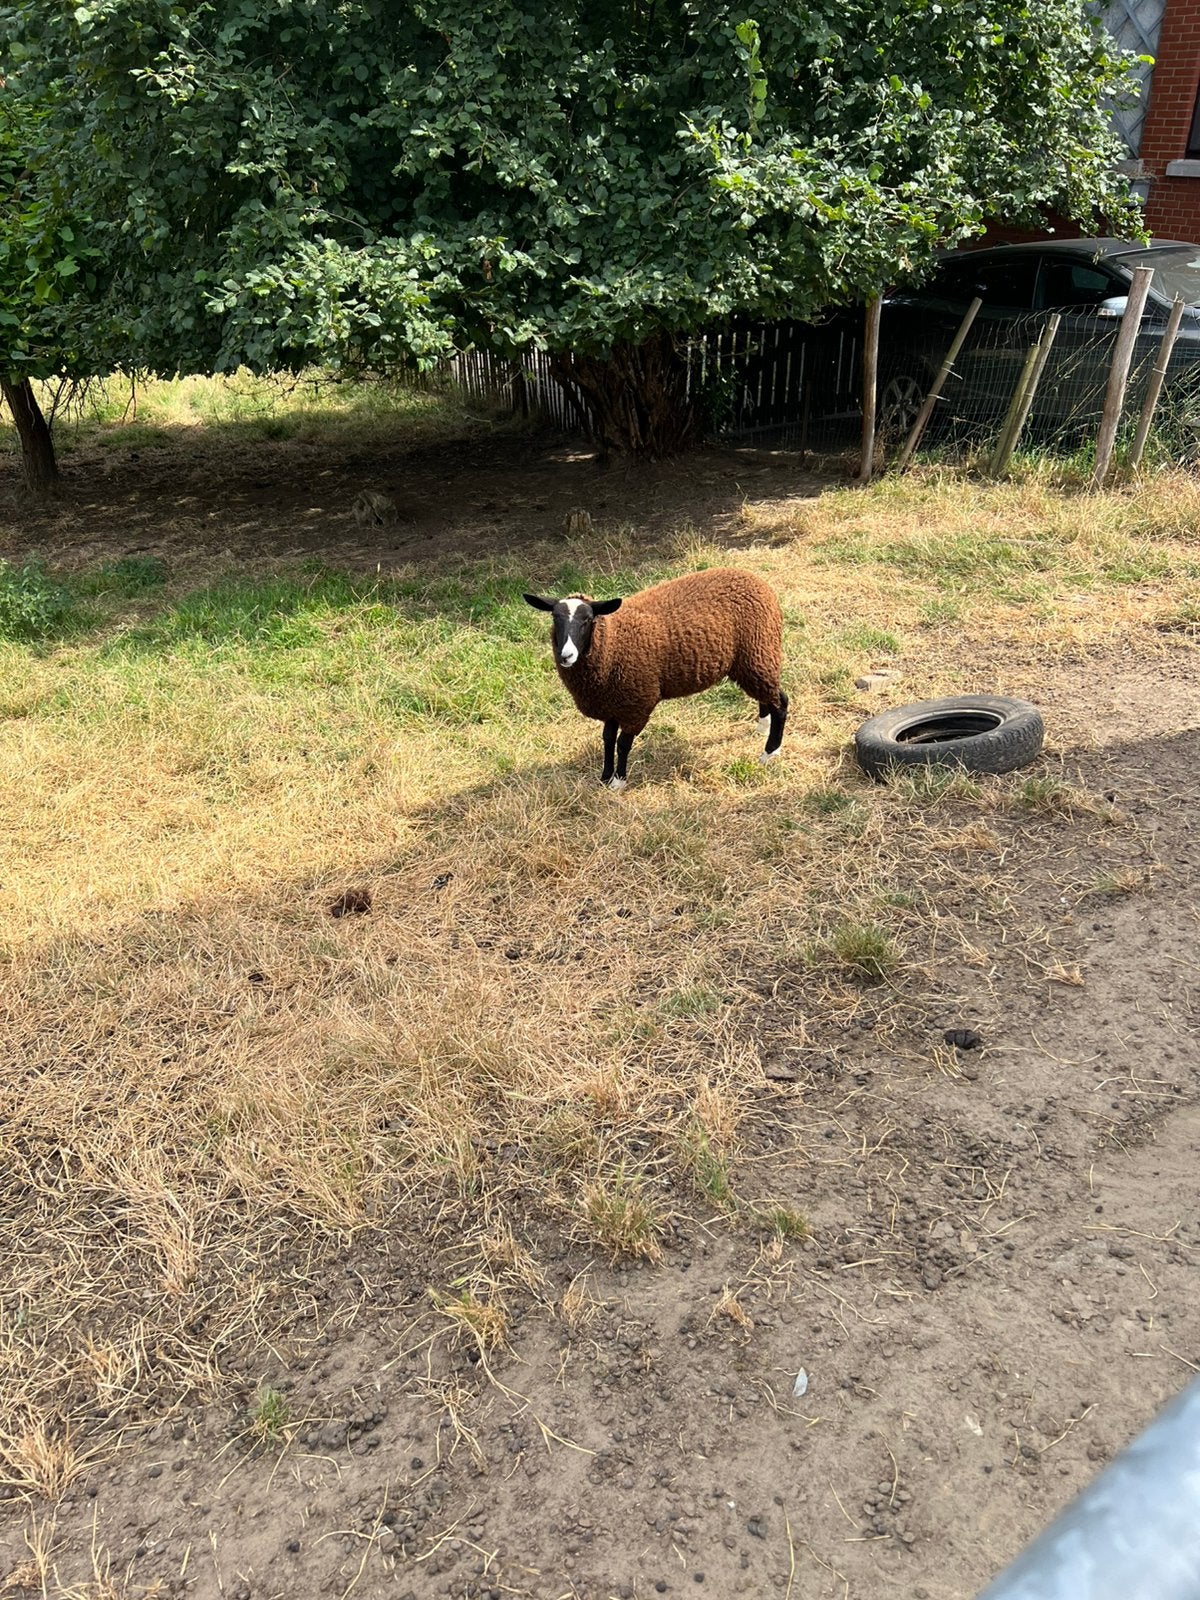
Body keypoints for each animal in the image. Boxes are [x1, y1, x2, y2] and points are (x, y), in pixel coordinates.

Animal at [523, 567, 788, 789]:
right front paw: (605, 776)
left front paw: (618, 781)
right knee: (767, 694)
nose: (566, 655)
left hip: (758, 650)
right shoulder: (611, 703)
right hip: (753, 659)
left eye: (588, 620)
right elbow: (607, 739)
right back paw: (762, 726)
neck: (612, 643)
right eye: (554, 618)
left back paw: (770, 752)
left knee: (781, 702)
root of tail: (755, 579)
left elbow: (623, 743)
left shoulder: (636, 704)